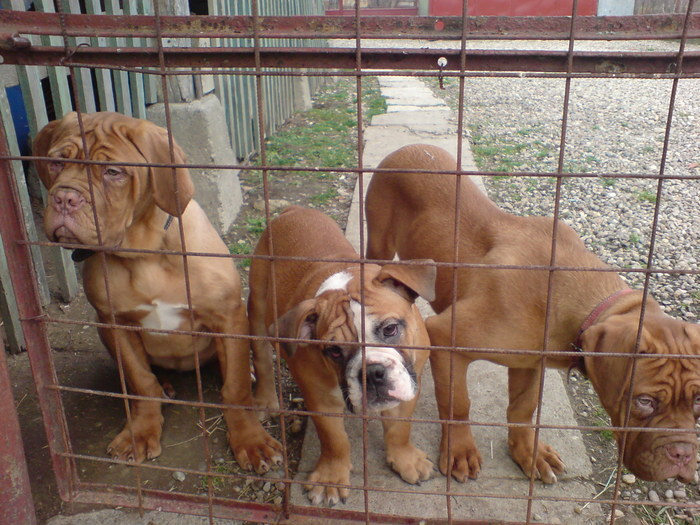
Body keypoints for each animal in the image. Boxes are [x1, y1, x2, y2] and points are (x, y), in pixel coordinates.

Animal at [32, 112, 284, 472]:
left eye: (113, 172)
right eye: (55, 162)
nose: (65, 198)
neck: (144, 253)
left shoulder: (228, 316)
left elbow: (234, 389)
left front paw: (251, 440)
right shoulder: (116, 324)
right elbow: (140, 381)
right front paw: (140, 431)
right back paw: (164, 385)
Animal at [364, 142, 700, 484]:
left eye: (698, 400)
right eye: (644, 401)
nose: (683, 456)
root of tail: (409, 147)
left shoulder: (530, 361)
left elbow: (523, 409)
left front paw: (528, 452)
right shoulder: (446, 338)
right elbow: (458, 403)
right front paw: (459, 450)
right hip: (379, 243)